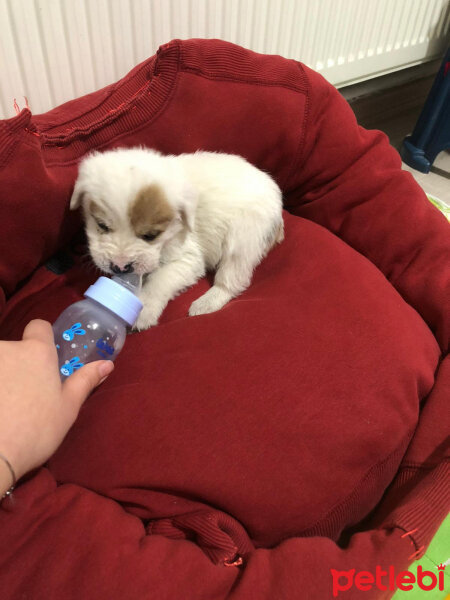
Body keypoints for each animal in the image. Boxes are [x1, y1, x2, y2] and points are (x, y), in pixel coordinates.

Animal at [70, 148, 284, 330]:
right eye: (102, 225)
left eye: (150, 235)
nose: (120, 267)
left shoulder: (188, 257)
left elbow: (159, 280)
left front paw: (143, 311)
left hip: (243, 237)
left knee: (232, 278)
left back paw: (206, 303)